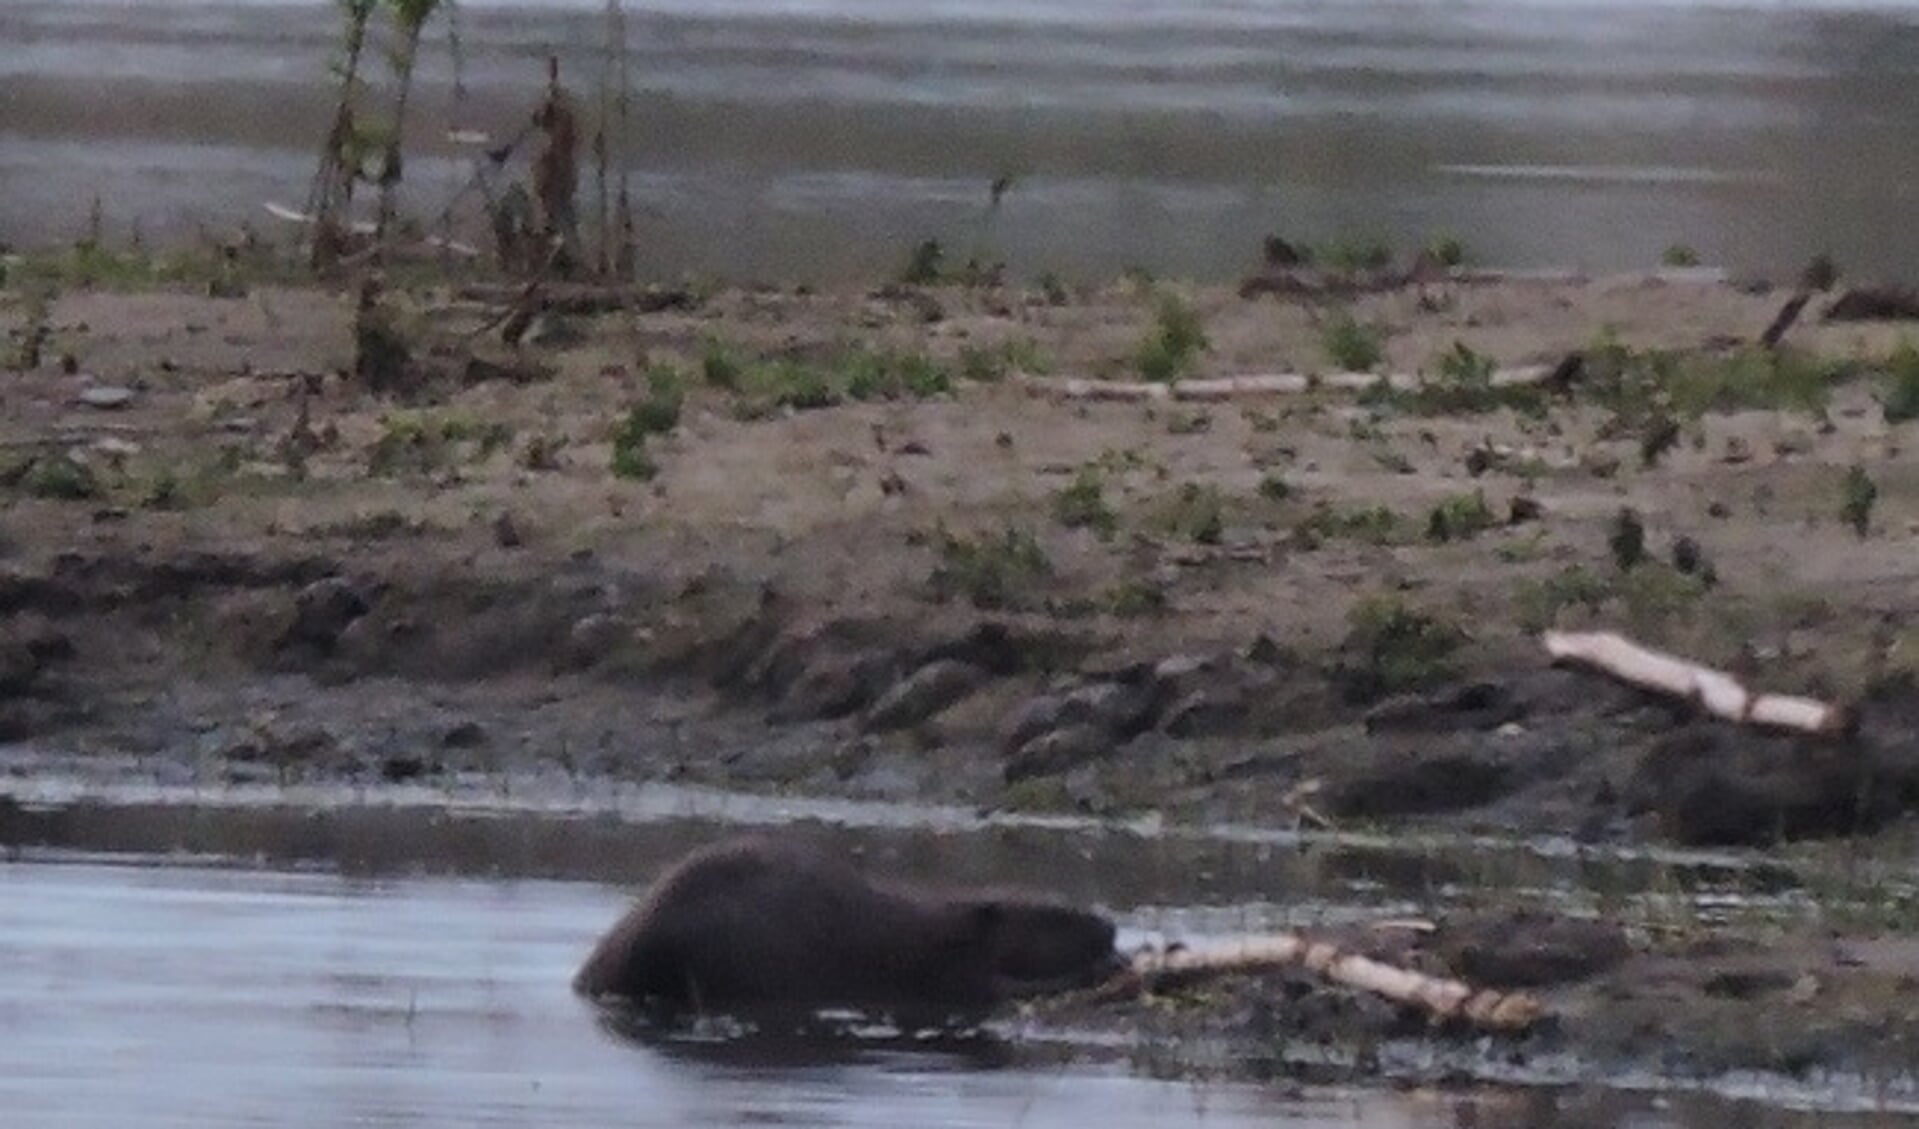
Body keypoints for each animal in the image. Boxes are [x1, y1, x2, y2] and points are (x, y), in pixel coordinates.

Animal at [568, 833, 1120, 1029]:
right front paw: (1104, 969)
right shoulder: (944, 971)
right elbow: (999, 991)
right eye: (1058, 916)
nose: (1111, 927)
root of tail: (588, 977)